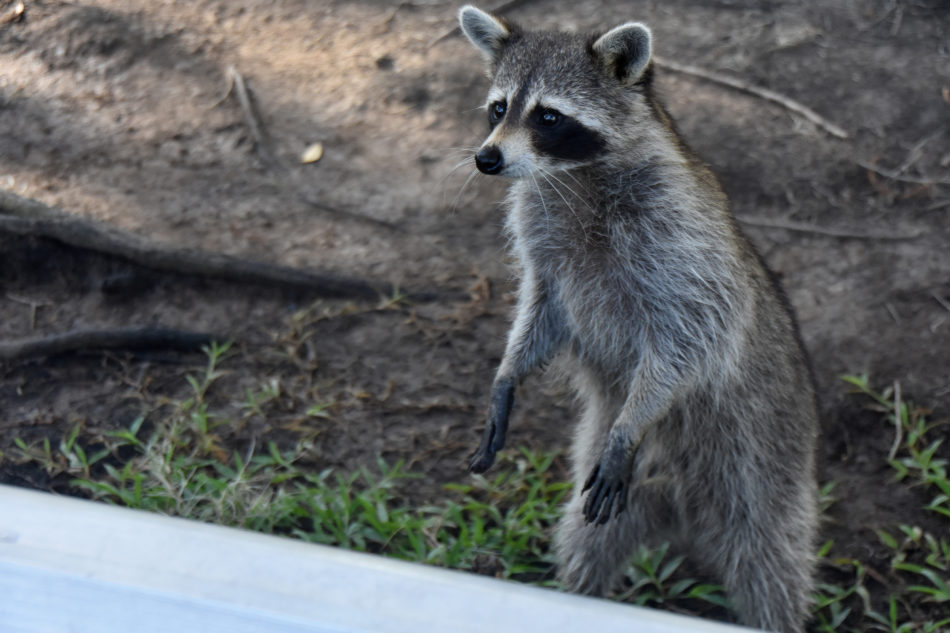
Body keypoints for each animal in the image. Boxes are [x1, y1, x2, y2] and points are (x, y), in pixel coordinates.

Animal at [457, 6, 819, 633]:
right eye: (499, 108)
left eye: (548, 116)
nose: (486, 159)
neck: (574, 173)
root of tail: (684, 516)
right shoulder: (546, 245)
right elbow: (542, 312)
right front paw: (507, 374)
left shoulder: (679, 239)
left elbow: (690, 335)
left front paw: (632, 421)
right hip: (611, 496)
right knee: (585, 541)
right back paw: (577, 593)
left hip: (763, 464)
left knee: (771, 560)